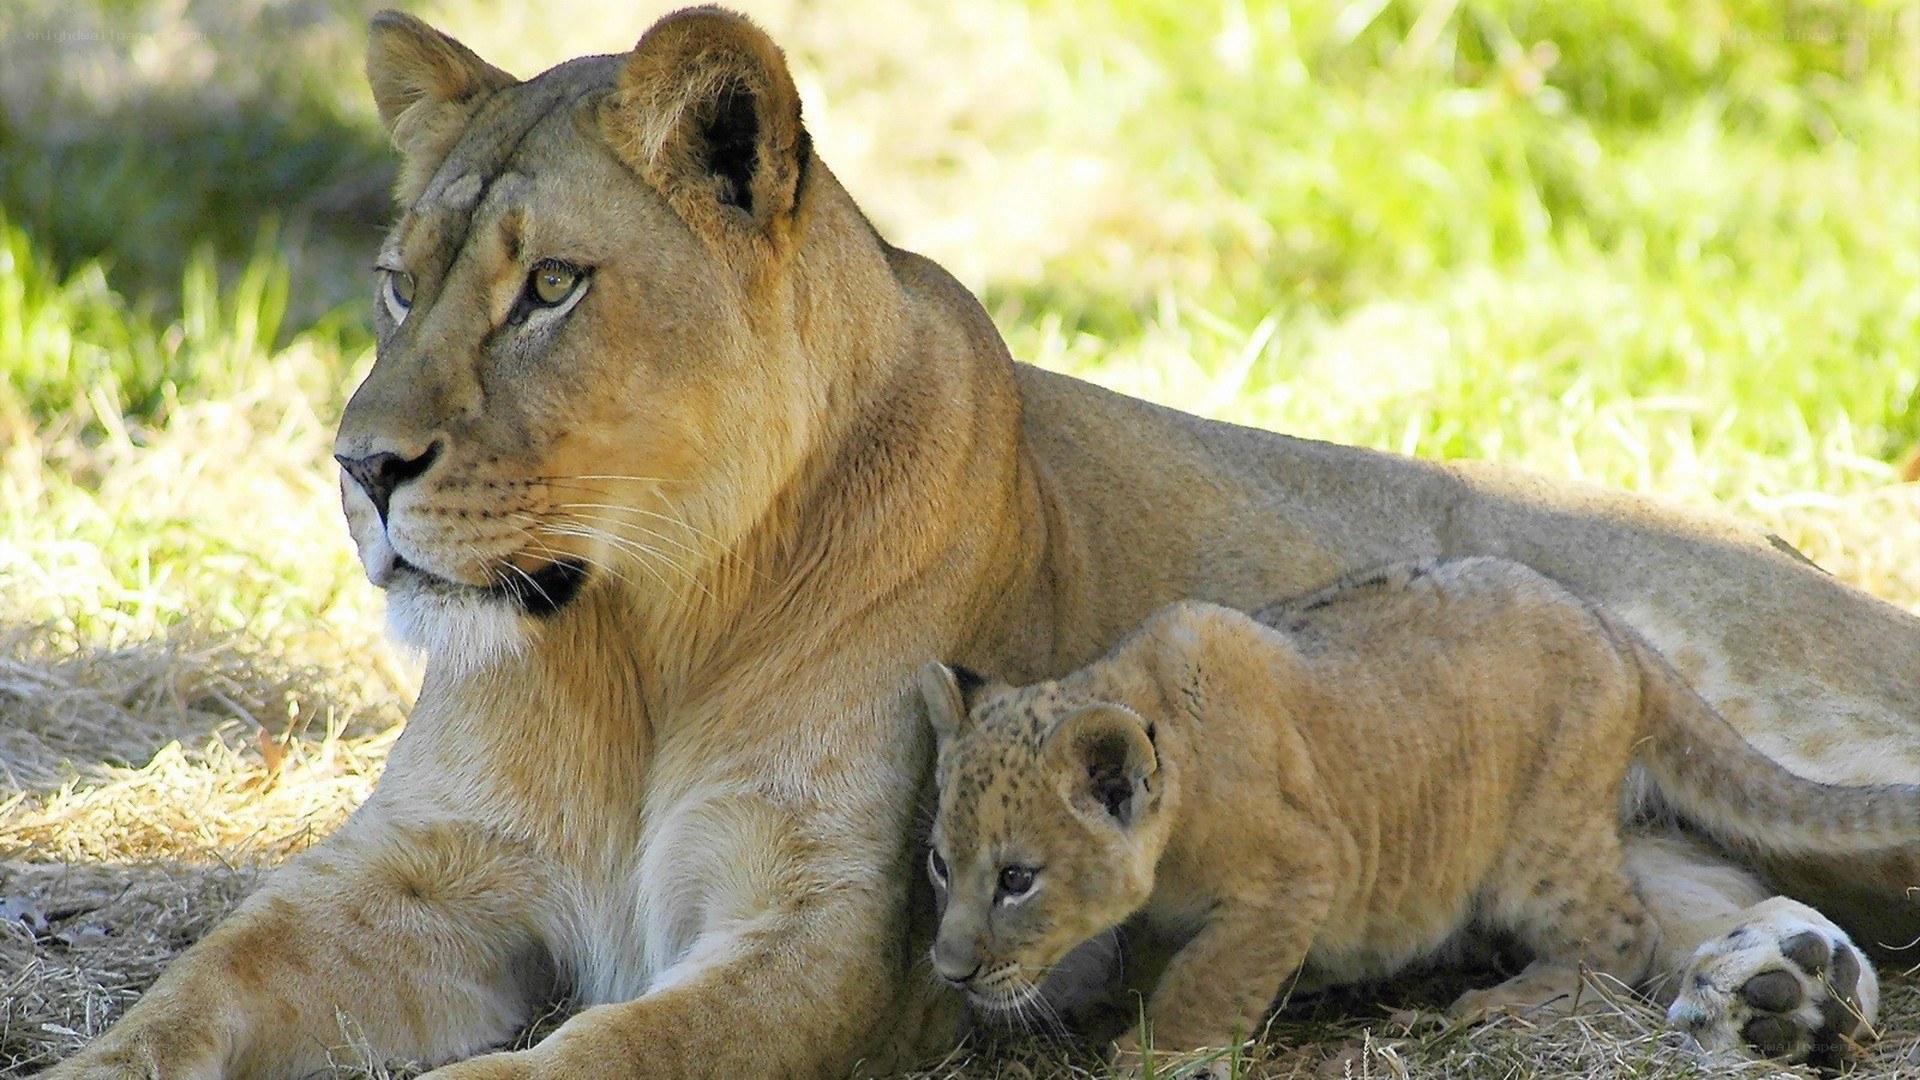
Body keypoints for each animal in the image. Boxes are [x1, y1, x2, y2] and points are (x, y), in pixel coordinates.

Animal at [919, 558, 1906, 1072]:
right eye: (938, 863)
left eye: (1016, 880)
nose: (949, 970)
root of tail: (1618, 633)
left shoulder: (1298, 873)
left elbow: (1207, 979)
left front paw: (1156, 1055)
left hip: (1535, 847)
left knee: (1621, 937)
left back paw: (1496, 1007)